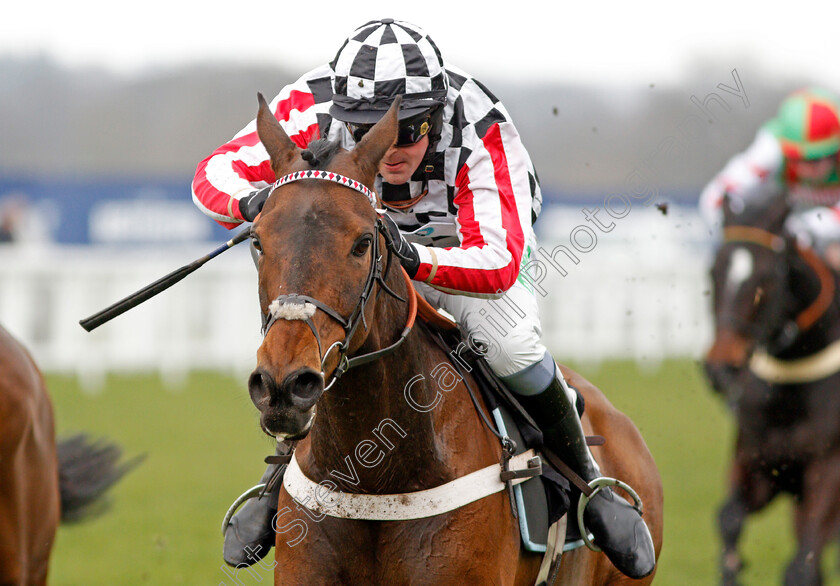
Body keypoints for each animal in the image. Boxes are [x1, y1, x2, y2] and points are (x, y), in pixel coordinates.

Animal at [704, 194, 840, 580]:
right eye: (713, 272)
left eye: (764, 277)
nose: (721, 368)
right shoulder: (759, 460)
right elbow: (729, 519)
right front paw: (732, 566)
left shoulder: (828, 468)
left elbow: (803, 565)